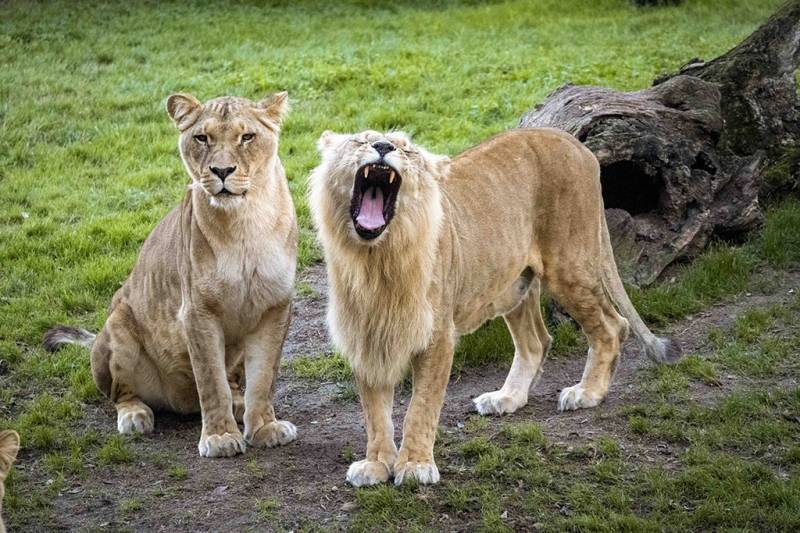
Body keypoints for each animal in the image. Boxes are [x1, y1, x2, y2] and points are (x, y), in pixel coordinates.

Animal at [42, 91, 296, 458]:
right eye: (202, 138)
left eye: (247, 137)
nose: (222, 170)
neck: (246, 221)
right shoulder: (197, 313)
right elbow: (210, 381)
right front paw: (220, 437)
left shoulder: (275, 308)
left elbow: (263, 378)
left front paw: (265, 428)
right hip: (119, 324)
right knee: (119, 394)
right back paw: (135, 416)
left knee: (235, 382)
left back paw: (239, 404)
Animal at [310, 127, 680, 484]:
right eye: (361, 141)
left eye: (406, 149)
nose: (384, 147)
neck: (377, 260)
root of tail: (573, 142)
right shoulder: (365, 335)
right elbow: (374, 413)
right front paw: (376, 464)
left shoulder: (438, 335)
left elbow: (421, 406)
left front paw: (415, 466)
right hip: (515, 284)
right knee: (537, 342)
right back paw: (507, 398)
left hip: (569, 266)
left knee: (613, 325)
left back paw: (587, 392)